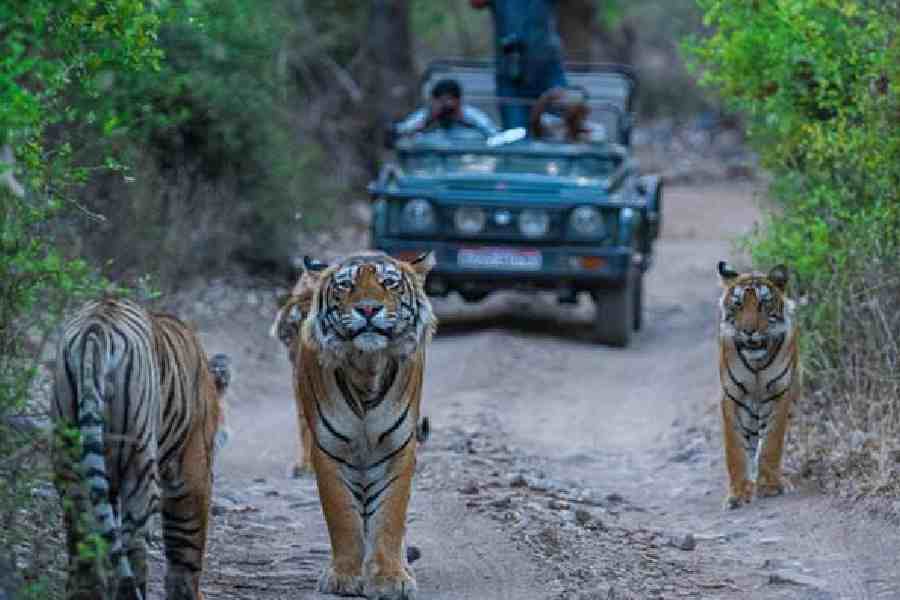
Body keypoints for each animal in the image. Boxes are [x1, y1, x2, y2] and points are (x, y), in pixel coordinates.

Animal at [52, 298, 231, 599]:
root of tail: (96, 328)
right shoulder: (192, 472)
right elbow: (187, 547)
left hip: (70, 459)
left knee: (84, 542)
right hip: (139, 463)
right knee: (133, 545)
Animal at [294, 250, 436, 599]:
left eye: (389, 283)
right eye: (346, 285)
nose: (369, 309)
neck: (366, 369)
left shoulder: (398, 447)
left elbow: (390, 515)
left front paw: (389, 578)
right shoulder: (329, 449)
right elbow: (342, 515)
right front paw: (345, 576)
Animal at [717, 261, 800, 509]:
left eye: (763, 304)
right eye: (738, 305)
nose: (748, 331)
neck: (756, 363)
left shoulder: (779, 394)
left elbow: (771, 442)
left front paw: (770, 486)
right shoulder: (732, 397)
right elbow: (735, 449)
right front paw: (737, 493)